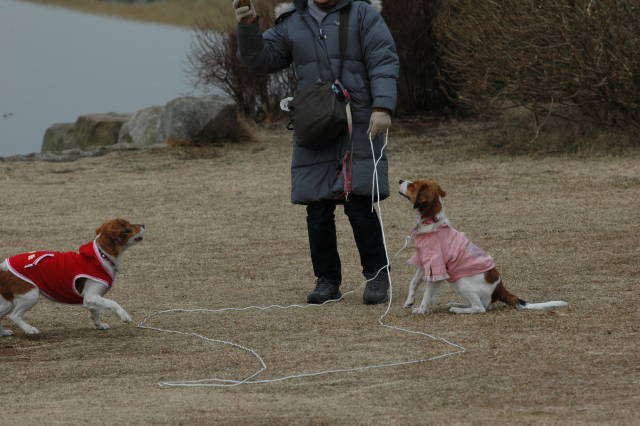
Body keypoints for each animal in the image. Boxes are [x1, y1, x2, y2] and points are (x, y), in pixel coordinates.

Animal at [0, 218, 144, 334]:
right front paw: (124, 316)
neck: (102, 255)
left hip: (8, 302)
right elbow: (112, 303)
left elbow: (96, 312)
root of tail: (3, 268)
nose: (143, 224)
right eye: (128, 228)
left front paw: (99, 324)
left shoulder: (93, 297)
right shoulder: (91, 296)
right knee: (14, 316)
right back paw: (29, 329)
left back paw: (4, 332)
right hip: (30, 295)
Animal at [398, 178, 568, 314]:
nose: (400, 180)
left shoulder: (437, 268)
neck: (431, 221)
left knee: (480, 308)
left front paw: (421, 310)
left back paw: (457, 309)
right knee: (482, 305)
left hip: (461, 281)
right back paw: (457, 303)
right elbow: (413, 282)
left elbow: (427, 294)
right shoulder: (425, 262)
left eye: (413, 185)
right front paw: (409, 301)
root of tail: (500, 289)